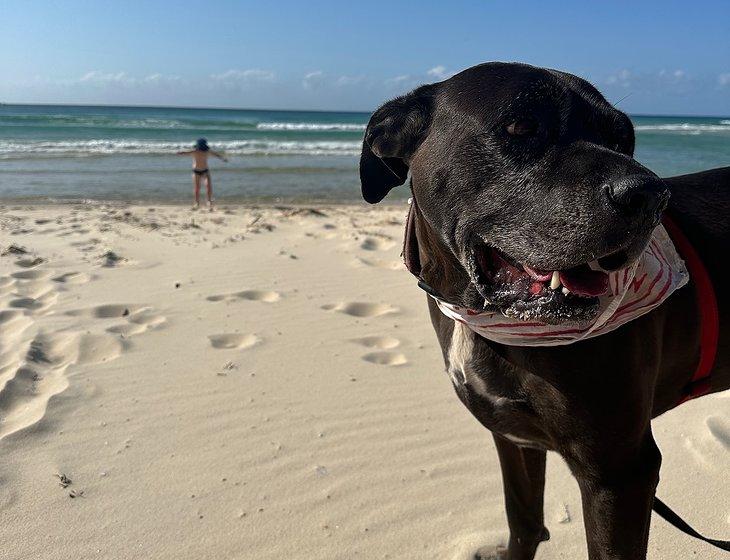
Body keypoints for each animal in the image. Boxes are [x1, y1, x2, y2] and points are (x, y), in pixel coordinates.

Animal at [358, 61, 728, 560]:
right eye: (521, 126)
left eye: (622, 139)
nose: (651, 195)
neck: (482, 314)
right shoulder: (513, 436)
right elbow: (525, 522)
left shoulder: (619, 473)